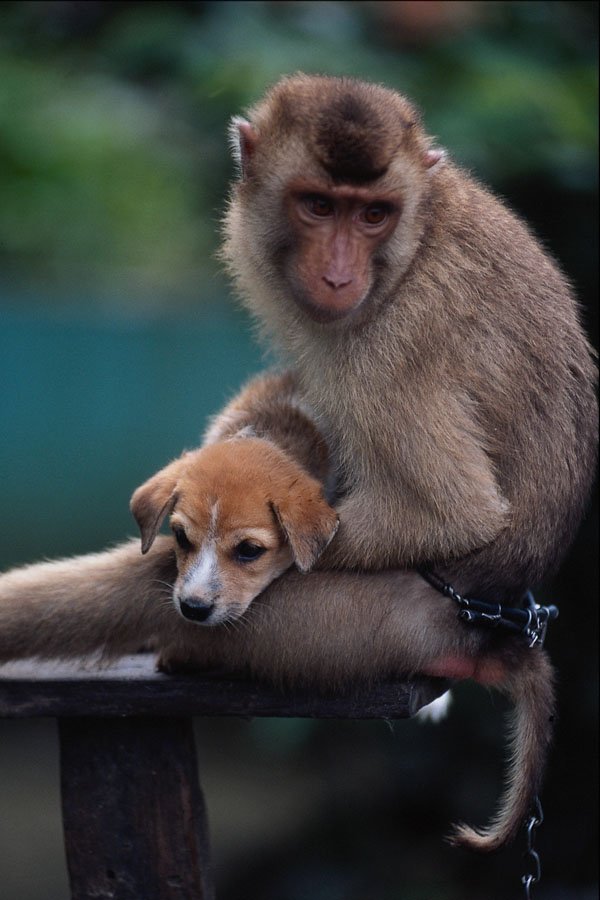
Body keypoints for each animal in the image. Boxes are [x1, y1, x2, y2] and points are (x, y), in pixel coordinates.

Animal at [0, 75, 596, 854]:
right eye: (318, 205)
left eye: (372, 214)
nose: (340, 274)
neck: (416, 240)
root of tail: (486, 628)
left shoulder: (390, 348)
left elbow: (456, 513)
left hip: (352, 627)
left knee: (148, 594)